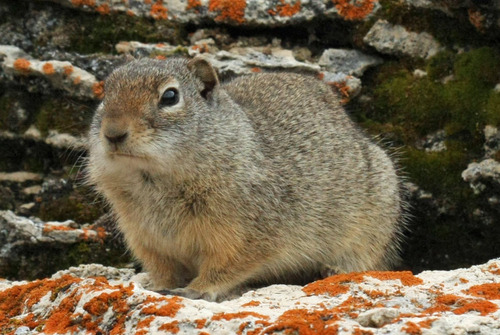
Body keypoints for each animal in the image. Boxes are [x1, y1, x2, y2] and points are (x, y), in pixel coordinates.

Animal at [86, 56, 406, 304]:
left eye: (170, 96)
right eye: (105, 95)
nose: (112, 133)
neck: (155, 182)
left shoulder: (246, 236)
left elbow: (223, 267)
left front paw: (195, 290)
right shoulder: (148, 241)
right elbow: (164, 272)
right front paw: (156, 287)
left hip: (370, 230)